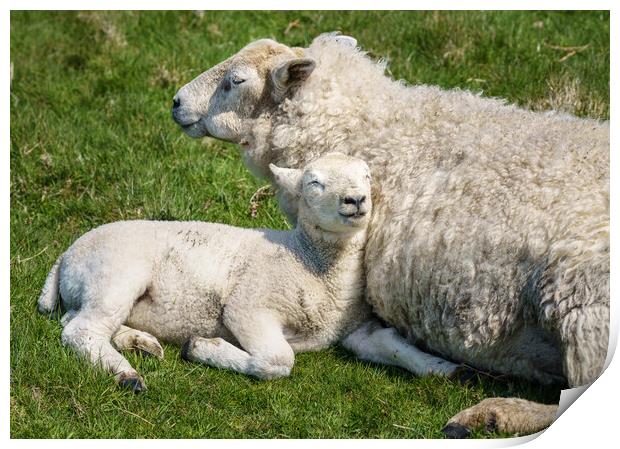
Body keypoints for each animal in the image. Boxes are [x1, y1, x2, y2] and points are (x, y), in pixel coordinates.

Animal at [37, 152, 456, 390]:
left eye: (367, 176)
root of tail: (67, 255)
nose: (356, 200)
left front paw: (445, 369)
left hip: (96, 287)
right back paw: (125, 374)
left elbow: (394, 345)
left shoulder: (355, 330)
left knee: (78, 323)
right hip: (116, 272)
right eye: (314, 182)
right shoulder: (249, 307)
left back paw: (139, 343)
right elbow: (278, 361)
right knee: (80, 331)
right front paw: (203, 348)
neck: (311, 264)